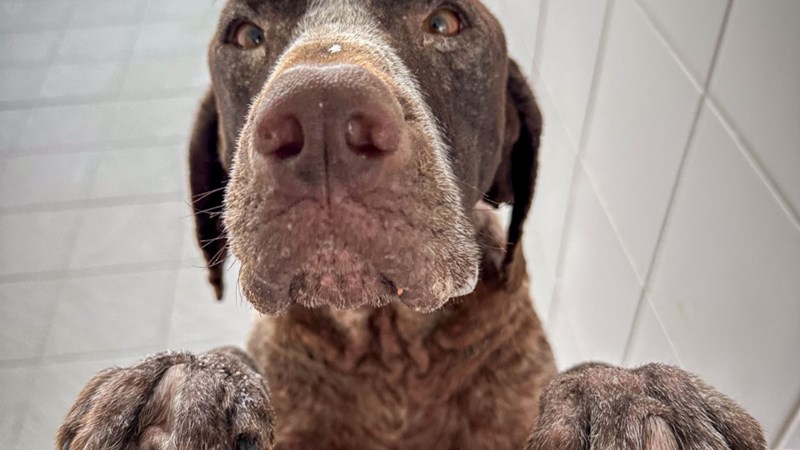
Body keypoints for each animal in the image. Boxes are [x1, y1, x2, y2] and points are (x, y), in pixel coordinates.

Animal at [57, 1, 768, 449]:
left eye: (444, 21)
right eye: (247, 34)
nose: (321, 115)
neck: (389, 351)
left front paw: (626, 395)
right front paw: (194, 378)